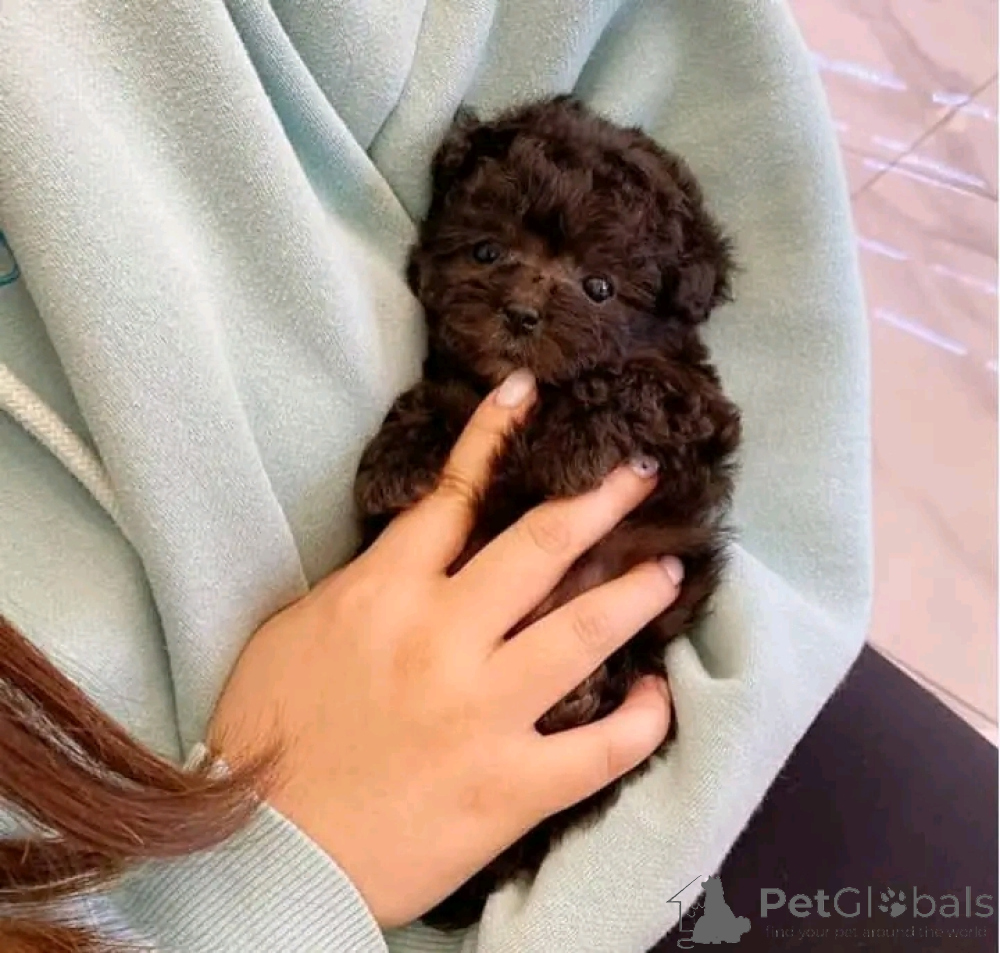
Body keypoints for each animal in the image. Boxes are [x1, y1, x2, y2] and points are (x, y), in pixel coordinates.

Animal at [353, 96, 741, 929]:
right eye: (487, 250)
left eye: (599, 287)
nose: (523, 312)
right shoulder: (465, 379)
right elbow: (442, 395)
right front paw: (396, 461)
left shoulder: (702, 412)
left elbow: (637, 380)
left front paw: (573, 442)